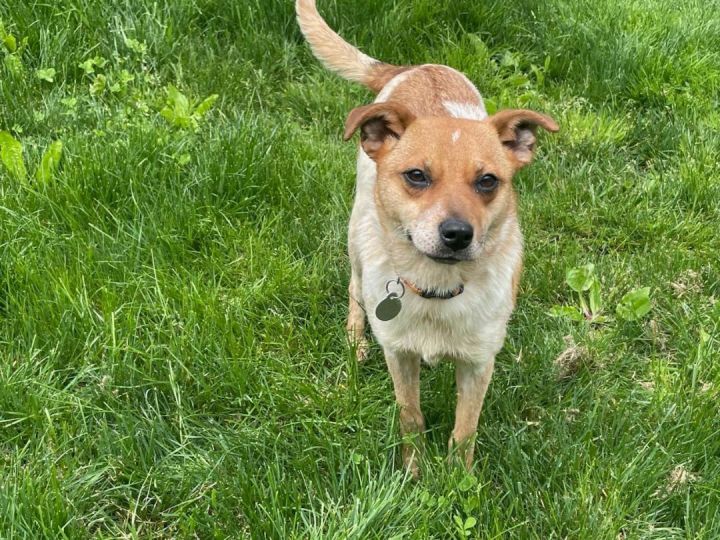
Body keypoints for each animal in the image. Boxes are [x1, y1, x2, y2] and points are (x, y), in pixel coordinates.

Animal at [296, 0, 560, 474]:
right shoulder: (399, 355)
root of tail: (415, 67)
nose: (457, 233)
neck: (438, 290)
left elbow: (465, 429)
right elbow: (411, 415)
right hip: (357, 234)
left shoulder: (478, 363)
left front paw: (458, 480)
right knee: (354, 287)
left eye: (488, 181)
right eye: (417, 175)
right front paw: (414, 471)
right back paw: (355, 340)